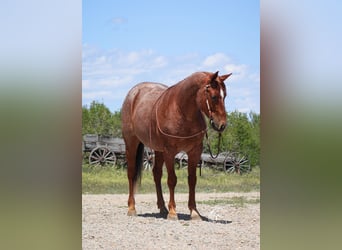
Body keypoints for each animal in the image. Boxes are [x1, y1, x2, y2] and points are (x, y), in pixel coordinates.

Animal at [121, 70, 231, 219]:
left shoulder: (194, 151)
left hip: (158, 150)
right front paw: (173, 212)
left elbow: (192, 180)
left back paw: (162, 208)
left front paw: (194, 212)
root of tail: (133, 93)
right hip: (131, 143)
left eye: (225, 95)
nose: (222, 125)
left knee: (156, 174)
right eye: (214, 96)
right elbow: (172, 180)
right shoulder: (170, 152)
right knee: (131, 174)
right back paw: (132, 208)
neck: (181, 111)